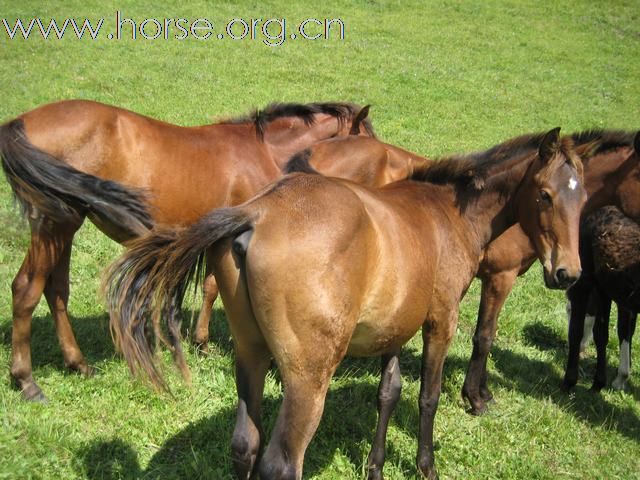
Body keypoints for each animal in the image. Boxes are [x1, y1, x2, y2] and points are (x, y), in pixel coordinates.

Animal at [0, 97, 376, 402]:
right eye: (371, 147)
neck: (265, 151)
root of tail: (19, 124)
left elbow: (209, 287)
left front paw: (199, 341)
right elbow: (215, 288)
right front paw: (205, 342)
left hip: (64, 225)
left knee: (56, 290)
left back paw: (78, 364)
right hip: (54, 226)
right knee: (26, 290)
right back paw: (27, 381)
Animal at [106, 128, 592, 480]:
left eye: (584, 196)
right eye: (545, 194)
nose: (567, 273)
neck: (446, 214)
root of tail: (256, 213)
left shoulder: (395, 326)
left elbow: (389, 392)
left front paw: (375, 468)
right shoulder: (441, 320)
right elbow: (428, 397)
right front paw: (427, 466)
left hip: (250, 354)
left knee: (244, 445)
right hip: (309, 378)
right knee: (281, 463)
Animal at [564, 205, 636, 390]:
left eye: (568, 311)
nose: (581, 349)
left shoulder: (585, 285)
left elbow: (577, 329)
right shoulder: (613, 292)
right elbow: (619, 331)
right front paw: (619, 378)